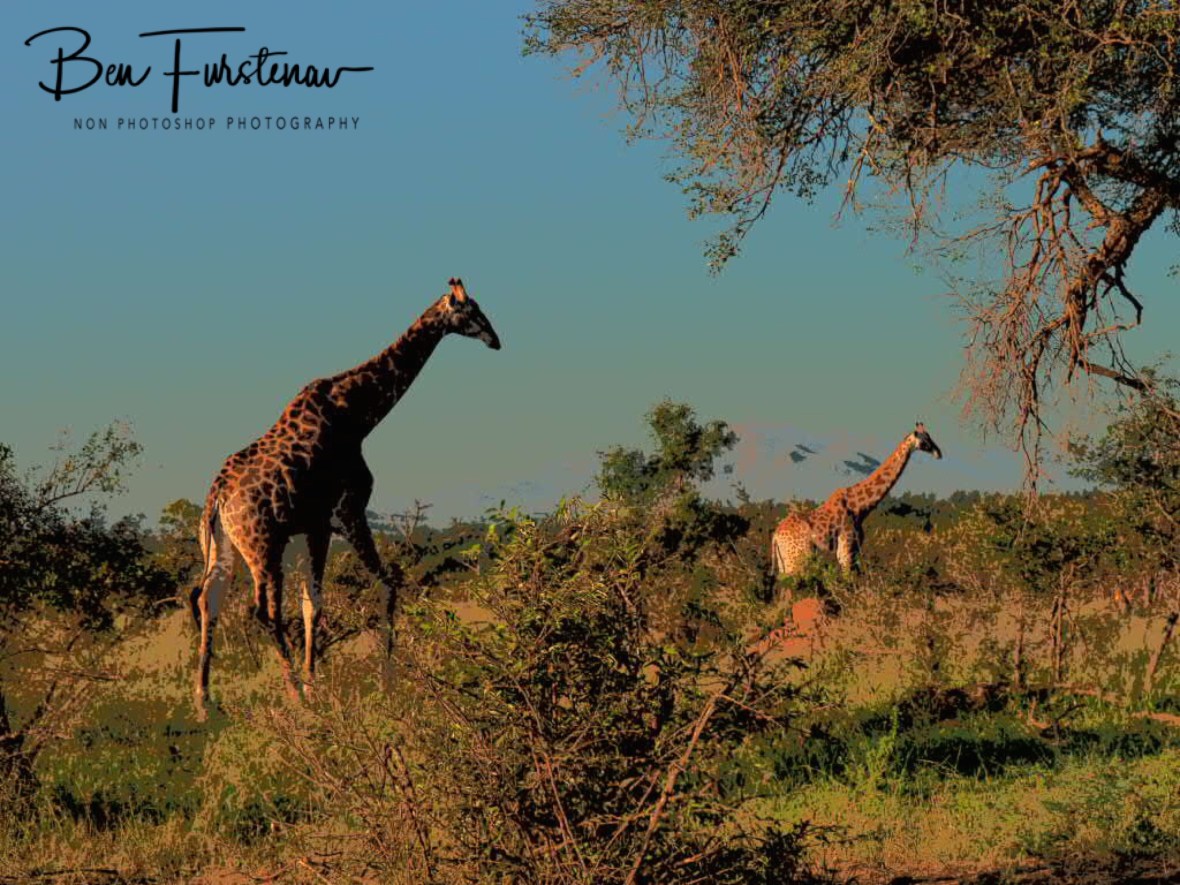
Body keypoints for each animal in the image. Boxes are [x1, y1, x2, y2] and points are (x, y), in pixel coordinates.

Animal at [191, 278, 501, 718]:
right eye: (471, 309)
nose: (495, 339)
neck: (358, 414)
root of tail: (216, 498)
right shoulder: (348, 511)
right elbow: (386, 585)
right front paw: (386, 679)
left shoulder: (316, 526)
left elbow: (312, 602)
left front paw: (316, 682)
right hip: (263, 546)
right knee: (263, 611)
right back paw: (291, 694)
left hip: (222, 546)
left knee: (209, 601)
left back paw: (204, 702)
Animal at [771, 423, 942, 578]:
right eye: (924, 440)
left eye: (930, 436)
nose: (939, 453)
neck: (860, 507)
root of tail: (775, 537)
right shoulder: (846, 548)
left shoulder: (855, 548)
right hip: (798, 560)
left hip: (785, 562)